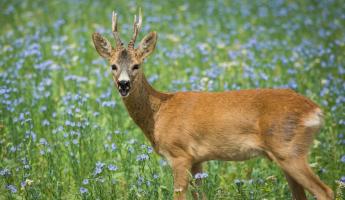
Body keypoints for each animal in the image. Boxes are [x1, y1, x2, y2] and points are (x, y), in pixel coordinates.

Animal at [92, 10, 334, 200]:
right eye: (113, 66)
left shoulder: (179, 154)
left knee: (325, 191)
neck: (159, 113)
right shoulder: (197, 159)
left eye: (137, 65)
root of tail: (316, 110)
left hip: (289, 150)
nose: (124, 84)